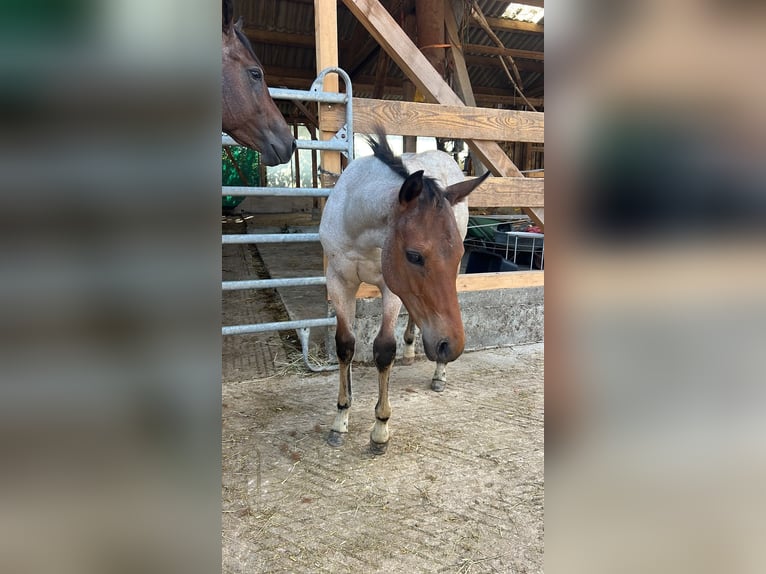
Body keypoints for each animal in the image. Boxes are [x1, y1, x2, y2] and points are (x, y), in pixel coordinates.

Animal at [319, 131, 490, 454]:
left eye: (459, 255)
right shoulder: (338, 281)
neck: (355, 217)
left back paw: (438, 372)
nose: (452, 346)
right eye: (414, 255)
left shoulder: (391, 287)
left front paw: (380, 430)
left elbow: (384, 349)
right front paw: (340, 419)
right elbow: (345, 345)